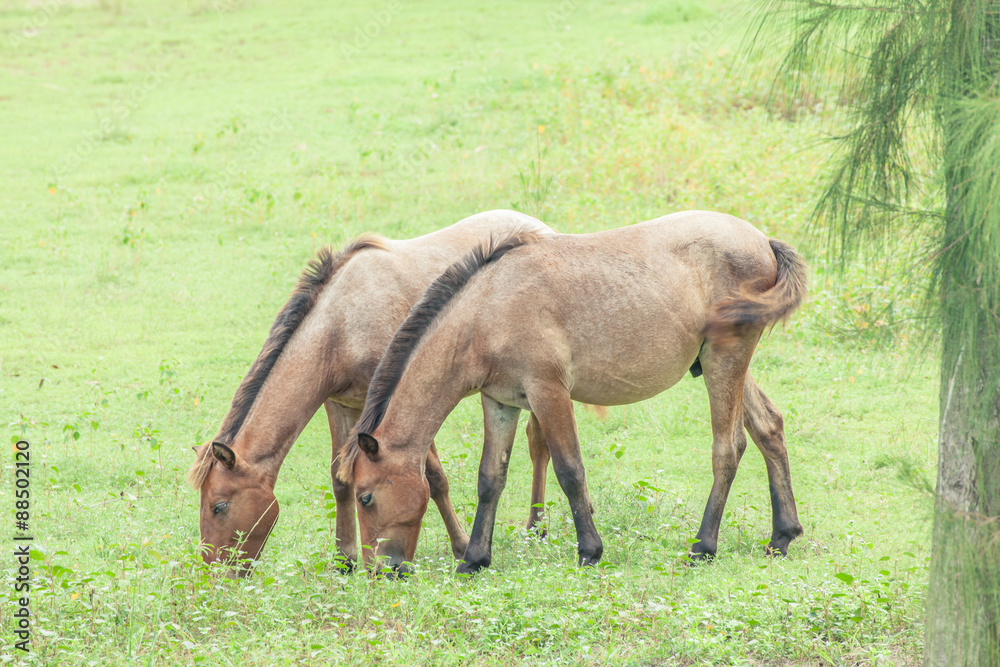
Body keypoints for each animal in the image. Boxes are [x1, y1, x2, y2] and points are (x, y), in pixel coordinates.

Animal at [186, 210, 559, 576]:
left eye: (219, 506)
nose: (213, 573)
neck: (342, 324)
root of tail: (539, 226)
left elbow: (435, 479)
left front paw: (461, 545)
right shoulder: (340, 406)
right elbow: (340, 480)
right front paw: (346, 558)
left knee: (539, 444)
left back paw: (537, 527)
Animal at [338, 210, 807, 574]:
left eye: (366, 496)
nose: (382, 570)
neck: (489, 308)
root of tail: (762, 241)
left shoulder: (548, 393)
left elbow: (569, 470)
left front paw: (589, 551)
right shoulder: (500, 402)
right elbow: (490, 477)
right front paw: (474, 559)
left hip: (724, 362)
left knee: (728, 447)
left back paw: (704, 546)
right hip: (722, 365)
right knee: (769, 428)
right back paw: (782, 536)